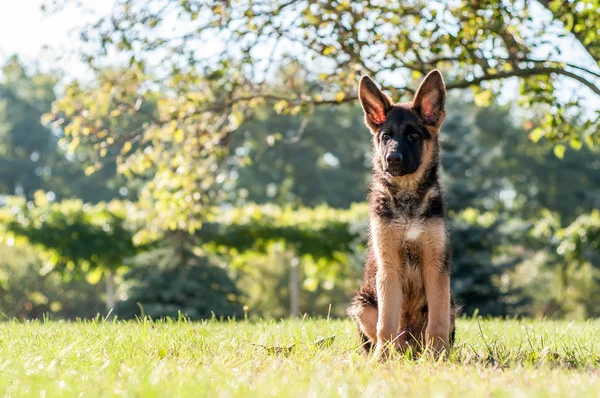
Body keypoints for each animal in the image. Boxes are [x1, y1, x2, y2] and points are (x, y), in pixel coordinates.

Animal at [346, 70, 460, 360]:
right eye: (386, 135)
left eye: (414, 136)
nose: (393, 159)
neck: (408, 198)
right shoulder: (389, 267)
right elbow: (386, 321)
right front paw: (381, 360)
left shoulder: (436, 268)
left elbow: (437, 321)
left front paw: (438, 356)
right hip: (363, 303)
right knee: (383, 330)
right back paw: (390, 352)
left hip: (452, 304)